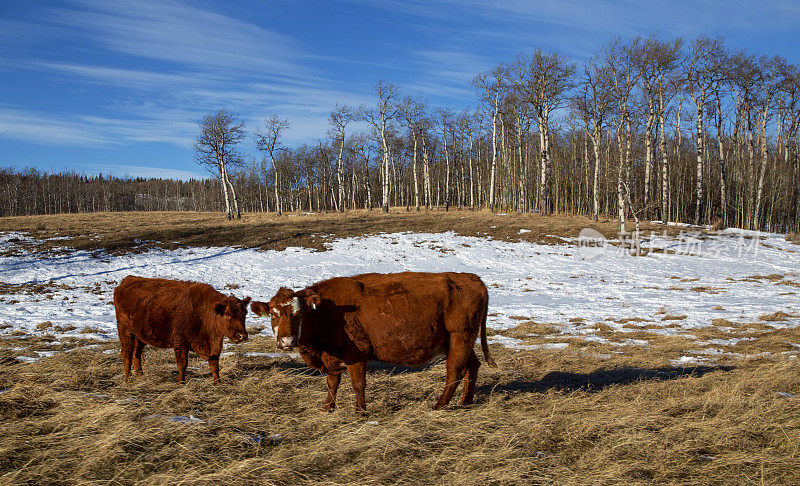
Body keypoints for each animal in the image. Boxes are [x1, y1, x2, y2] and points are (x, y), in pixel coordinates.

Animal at [112, 276, 250, 382]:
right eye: (228, 314)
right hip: (126, 332)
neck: (204, 311)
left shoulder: (214, 346)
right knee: (127, 353)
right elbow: (182, 364)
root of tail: (127, 281)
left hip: (140, 336)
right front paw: (181, 383)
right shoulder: (180, 342)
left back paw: (140, 375)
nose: (242, 336)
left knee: (137, 353)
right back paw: (127, 379)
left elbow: (214, 364)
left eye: (245, 313)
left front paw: (217, 382)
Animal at [250, 272, 494, 412]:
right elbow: (332, 383)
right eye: (273, 314)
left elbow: (358, 384)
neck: (327, 311)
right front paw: (328, 407)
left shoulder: (355, 355)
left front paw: (360, 410)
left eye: (298, 313)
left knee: (454, 371)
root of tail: (474, 279)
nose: (287, 340)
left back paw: (440, 404)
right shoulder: (331, 356)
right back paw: (466, 401)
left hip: (460, 337)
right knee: (473, 366)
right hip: (459, 341)